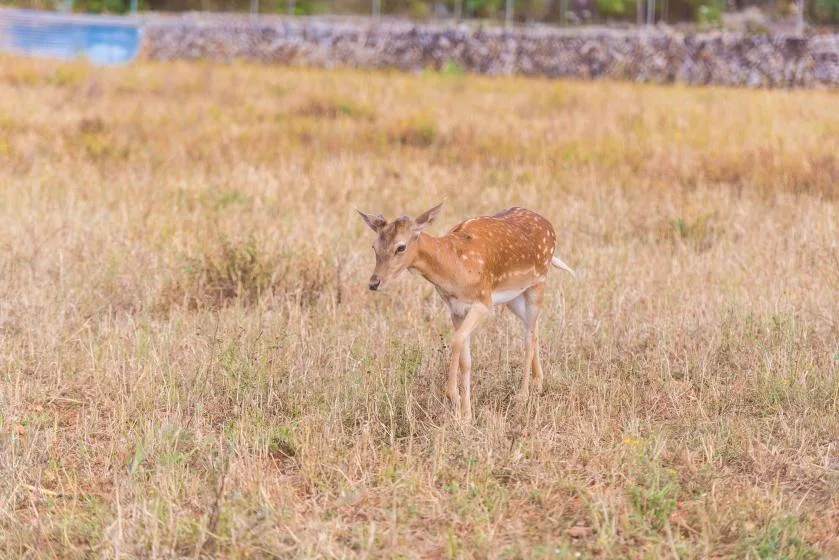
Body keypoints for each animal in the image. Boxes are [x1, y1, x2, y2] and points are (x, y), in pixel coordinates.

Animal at [358, 203, 575, 420]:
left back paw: (522, 397)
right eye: (374, 247)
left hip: (538, 284)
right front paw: (467, 414)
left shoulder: (483, 302)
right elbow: (466, 359)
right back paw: (538, 383)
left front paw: (452, 396)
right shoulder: (455, 308)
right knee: (533, 328)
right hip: (513, 298)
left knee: (528, 338)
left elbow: (456, 341)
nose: (374, 283)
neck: (454, 267)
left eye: (400, 247)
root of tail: (548, 224)